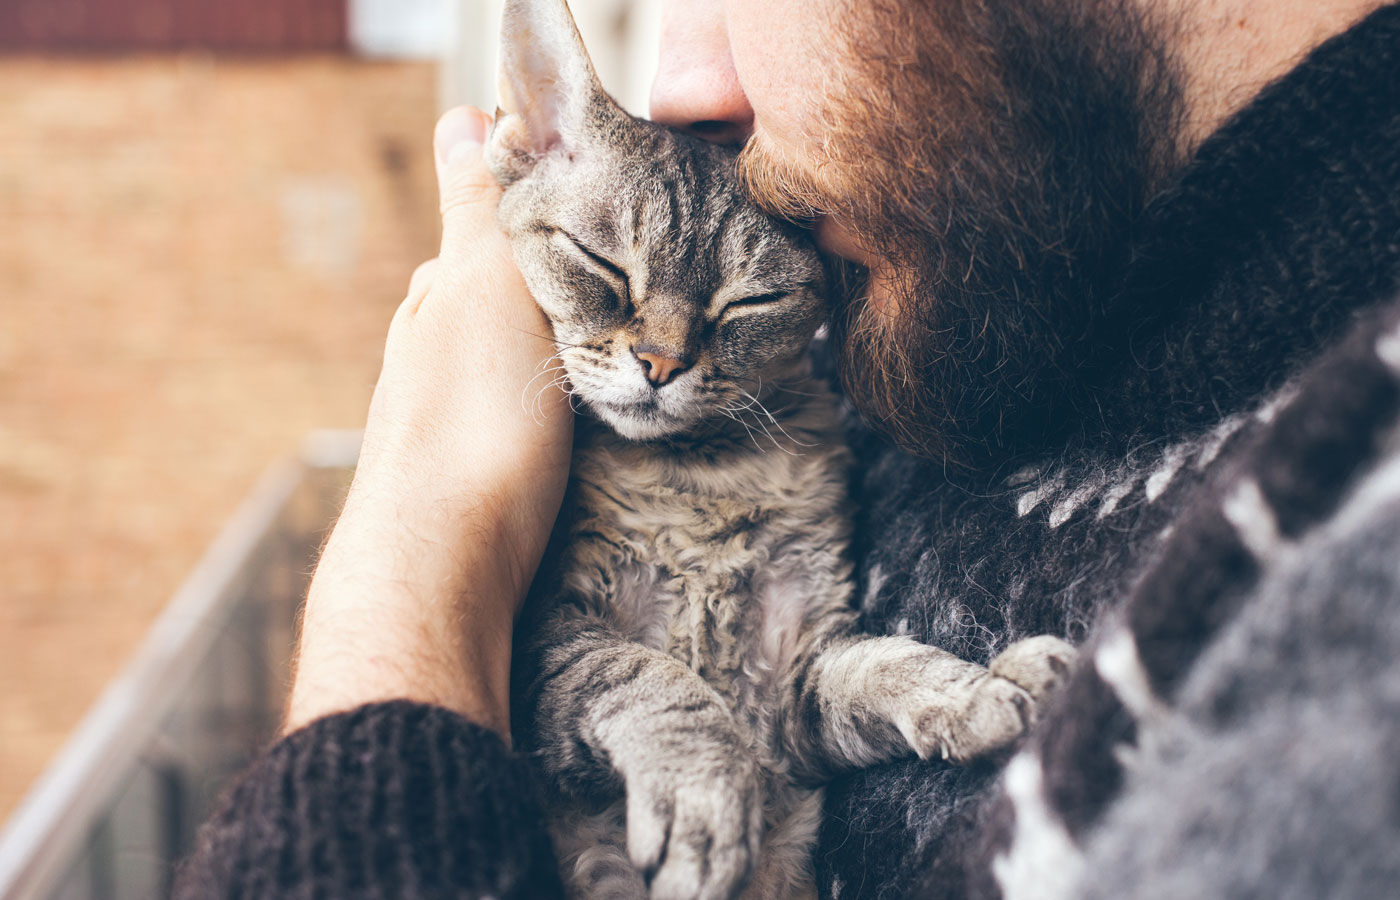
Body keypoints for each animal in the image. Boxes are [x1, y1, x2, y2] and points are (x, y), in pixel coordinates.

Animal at [478, 1, 1069, 900]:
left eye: (749, 303)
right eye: (601, 265)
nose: (660, 363)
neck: (699, 478)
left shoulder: (795, 681)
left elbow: (879, 664)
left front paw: (980, 686)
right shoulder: (543, 641)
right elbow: (653, 679)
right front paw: (706, 798)